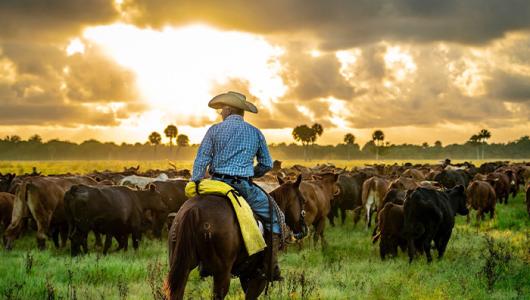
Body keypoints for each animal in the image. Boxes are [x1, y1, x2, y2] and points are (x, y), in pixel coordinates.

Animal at [165, 176, 306, 300]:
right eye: (303, 200)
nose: (304, 229)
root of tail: (194, 211)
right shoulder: (257, 278)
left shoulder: (245, 276)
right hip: (222, 274)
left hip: (182, 267)